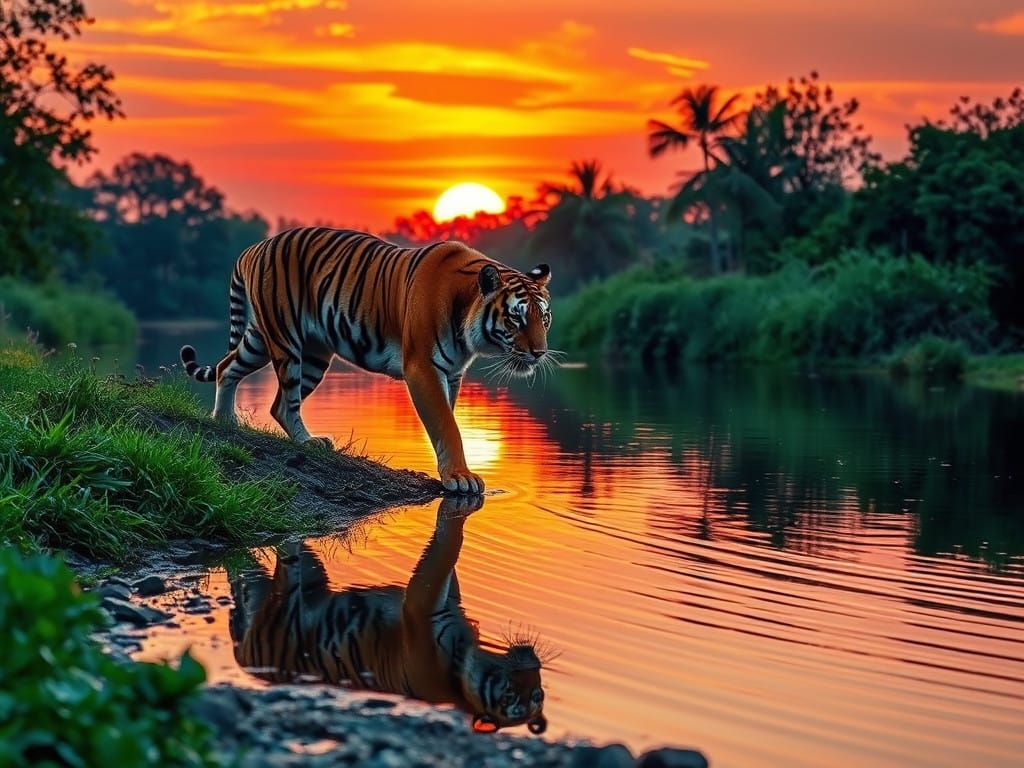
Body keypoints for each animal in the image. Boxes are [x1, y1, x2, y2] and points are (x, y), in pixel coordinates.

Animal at [179, 227, 554, 493]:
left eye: (544, 317)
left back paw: (225, 421)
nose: (540, 352)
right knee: (284, 401)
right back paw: (305, 441)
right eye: (517, 318)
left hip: (285, 345)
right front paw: (460, 477)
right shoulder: (423, 368)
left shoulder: (453, 373)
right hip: (286, 340)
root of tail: (254, 247)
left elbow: (449, 419)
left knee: (232, 370)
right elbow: (447, 425)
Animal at [228, 495, 549, 735]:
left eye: (537, 695)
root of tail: (247, 664)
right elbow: (443, 557)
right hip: (290, 585)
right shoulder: (421, 605)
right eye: (509, 695)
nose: (531, 663)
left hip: (308, 577)